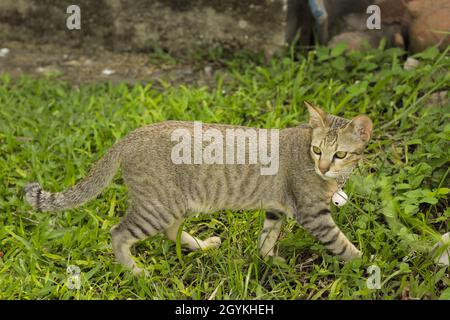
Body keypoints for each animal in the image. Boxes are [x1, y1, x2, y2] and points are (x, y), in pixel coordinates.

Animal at [24, 103, 372, 276]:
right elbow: (342, 245)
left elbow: (266, 239)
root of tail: (130, 135)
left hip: (177, 204)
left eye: (339, 154)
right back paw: (138, 273)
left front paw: (270, 261)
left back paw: (203, 246)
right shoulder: (313, 214)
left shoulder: (276, 209)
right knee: (118, 234)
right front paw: (367, 268)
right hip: (156, 207)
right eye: (318, 150)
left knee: (171, 231)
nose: (324, 167)